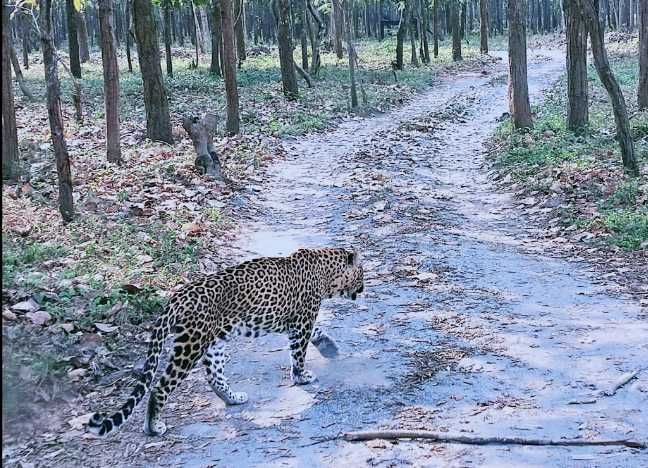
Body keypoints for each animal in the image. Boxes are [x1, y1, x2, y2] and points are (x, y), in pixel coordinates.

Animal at [86, 247, 364, 436]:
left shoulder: (298, 321)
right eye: (362, 273)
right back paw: (153, 427)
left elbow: (315, 334)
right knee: (160, 387)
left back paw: (233, 398)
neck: (326, 271)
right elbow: (299, 351)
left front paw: (329, 348)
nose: (362, 290)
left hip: (214, 343)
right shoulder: (302, 320)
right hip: (191, 344)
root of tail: (176, 298)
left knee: (214, 376)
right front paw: (302, 376)